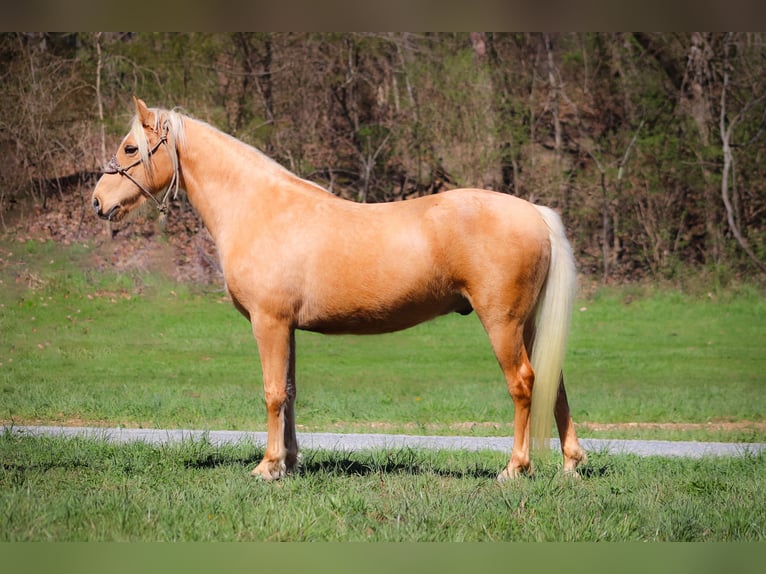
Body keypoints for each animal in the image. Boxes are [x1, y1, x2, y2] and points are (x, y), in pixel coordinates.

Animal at [93, 98, 592, 482]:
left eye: (130, 146)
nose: (98, 201)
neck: (260, 208)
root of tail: (535, 212)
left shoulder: (268, 323)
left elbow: (272, 392)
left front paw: (267, 467)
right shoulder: (286, 327)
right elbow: (289, 391)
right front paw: (289, 463)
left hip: (502, 323)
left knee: (523, 383)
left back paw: (515, 468)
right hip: (528, 324)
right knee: (553, 381)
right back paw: (571, 464)